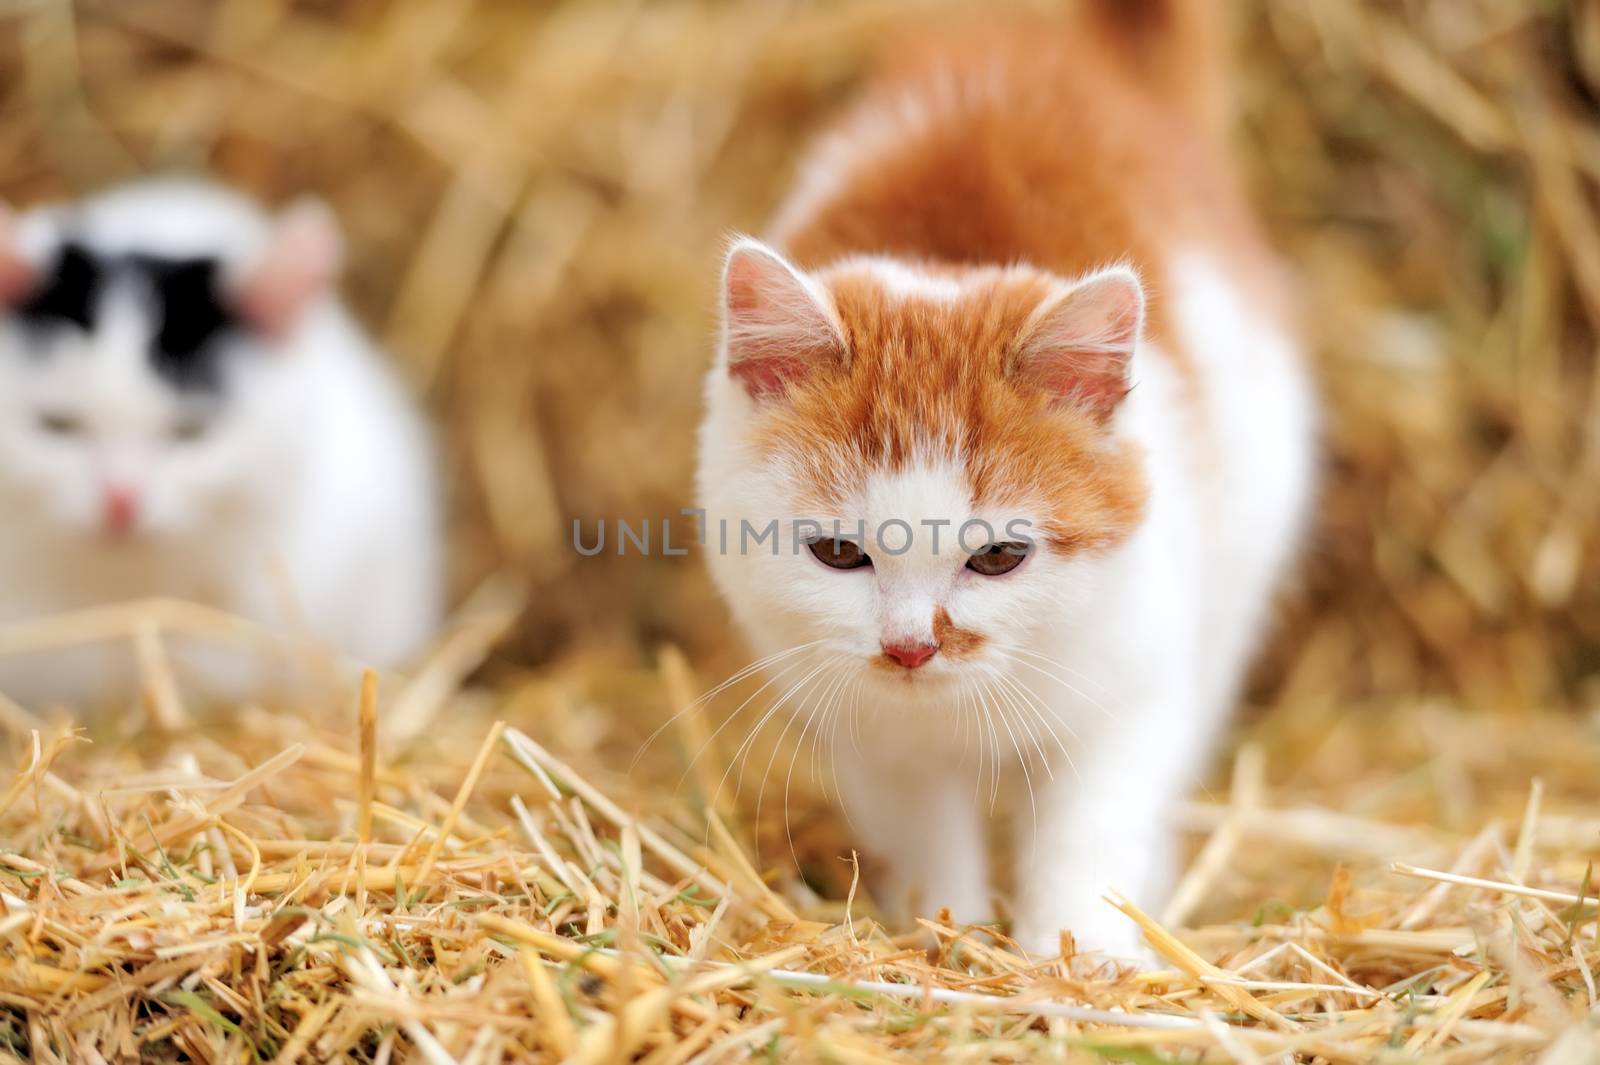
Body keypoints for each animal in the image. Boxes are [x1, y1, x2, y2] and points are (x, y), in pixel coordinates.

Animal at [697, 2, 1312, 953]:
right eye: (838, 552)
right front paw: (941, 933)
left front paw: (1078, 954)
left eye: (996, 558)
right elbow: (924, 831)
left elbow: (1089, 829)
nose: (912, 647)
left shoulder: (1128, 685)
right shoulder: (868, 727)